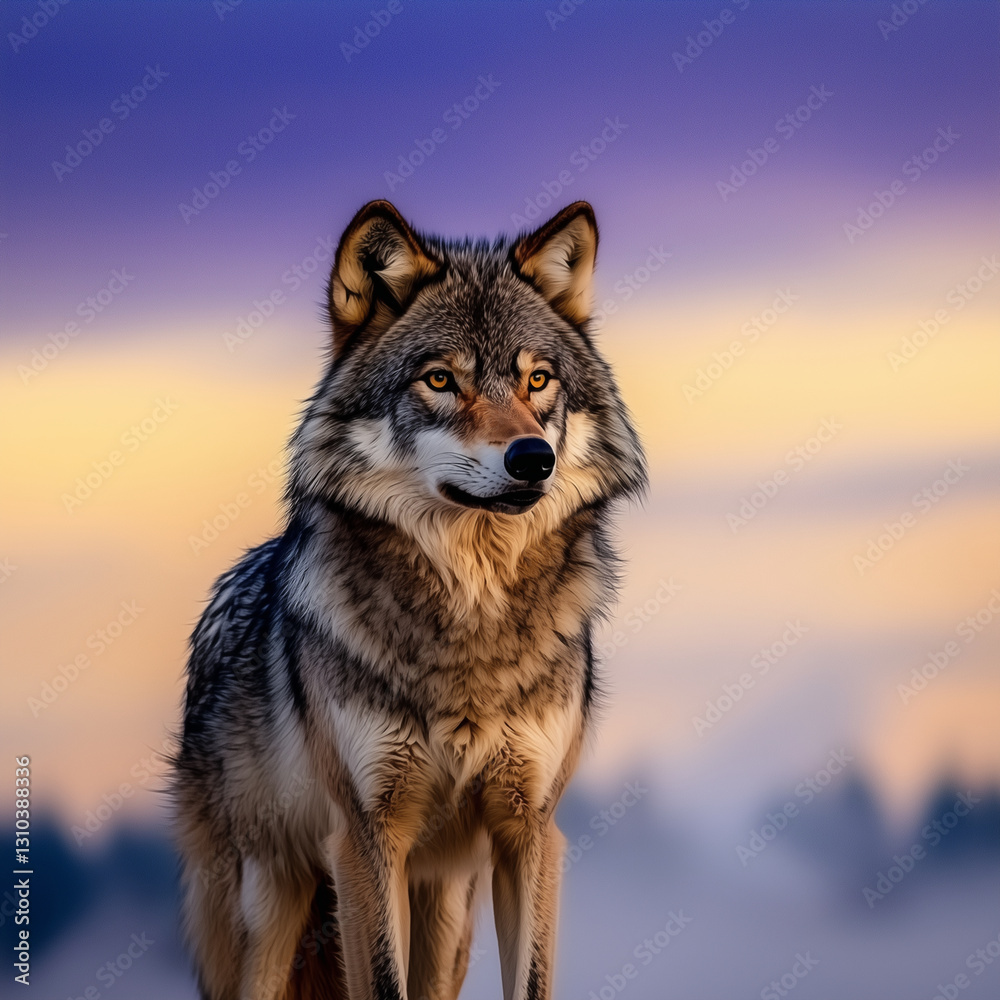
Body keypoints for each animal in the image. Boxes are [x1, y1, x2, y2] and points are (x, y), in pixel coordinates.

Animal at [172, 199, 646, 1000]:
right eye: (440, 380)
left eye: (538, 380)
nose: (533, 459)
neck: (472, 615)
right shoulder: (366, 836)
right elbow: (383, 980)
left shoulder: (528, 832)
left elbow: (529, 981)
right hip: (267, 910)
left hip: (447, 906)